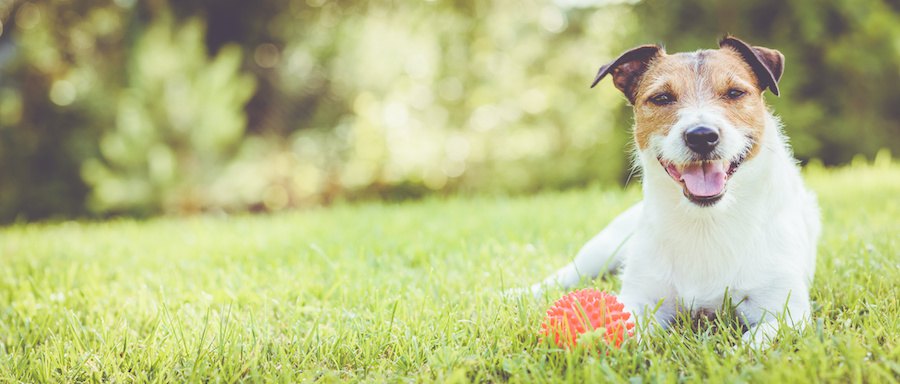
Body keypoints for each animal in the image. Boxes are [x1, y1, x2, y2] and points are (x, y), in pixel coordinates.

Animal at [528, 36, 824, 348]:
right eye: (662, 98)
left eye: (734, 93)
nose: (702, 136)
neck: (706, 221)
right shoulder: (639, 298)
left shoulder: (787, 311)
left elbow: (756, 340)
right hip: (602, 249)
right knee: (562, 276)